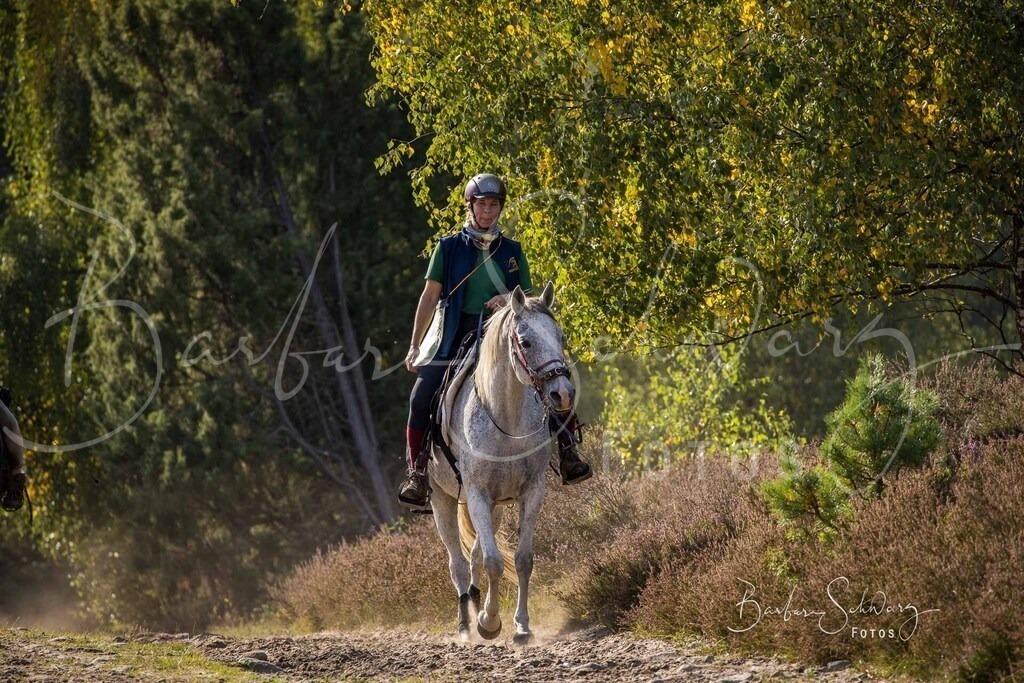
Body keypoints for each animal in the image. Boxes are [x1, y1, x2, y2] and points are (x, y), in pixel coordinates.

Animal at [428, 282, 574, 644]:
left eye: (561, 337)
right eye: (526, 341)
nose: (563, 393)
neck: (507, 419)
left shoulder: (532, 492)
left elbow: (522, 559)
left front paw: (521, 626)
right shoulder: (477, 493)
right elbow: (494, 562)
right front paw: (489, 622)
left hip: (493, 508)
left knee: (474, 556)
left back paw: (476, 604)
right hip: (442, 499)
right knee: (458, 563)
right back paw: (466, 624)